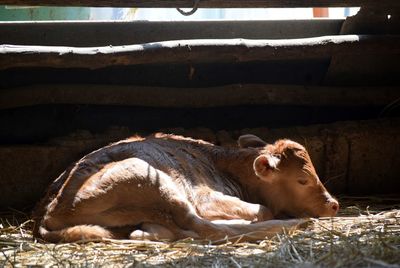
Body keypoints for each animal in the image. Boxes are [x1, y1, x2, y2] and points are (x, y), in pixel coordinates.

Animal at [32, 134, 338, 243]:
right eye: (302, 180)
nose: (334, 204)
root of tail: (50, 210)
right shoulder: (204, 197)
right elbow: (262, 209)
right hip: (152, 180)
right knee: (201, 226)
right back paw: (292, 224)